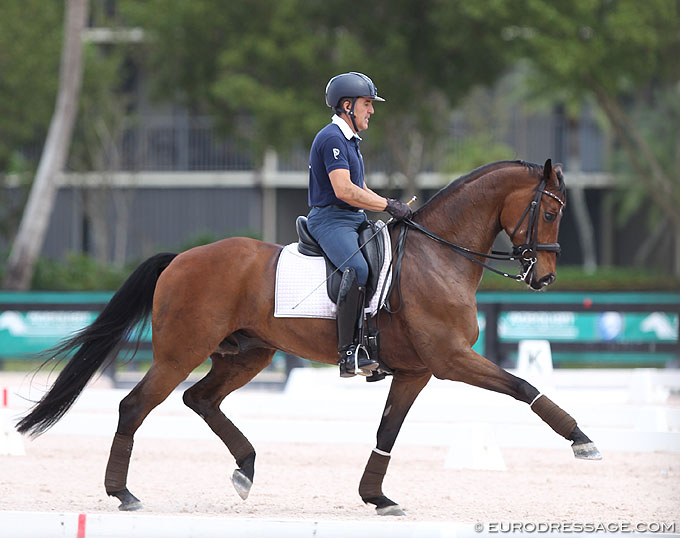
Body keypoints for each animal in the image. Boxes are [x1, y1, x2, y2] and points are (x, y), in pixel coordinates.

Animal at [15, 159, 600, 516]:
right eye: (551, 211)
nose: (545, 278)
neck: (441, 255)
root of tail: (181, 258)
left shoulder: (417, 371)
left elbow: (388, 432)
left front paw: (376, 497)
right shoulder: (452, 359)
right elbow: (523, 386)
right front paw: (581, 438)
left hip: (248, 354)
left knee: (199, 399)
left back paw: (246, 468)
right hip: (182, 352)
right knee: (135, 406)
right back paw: (123, 493)